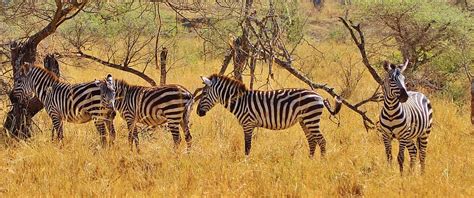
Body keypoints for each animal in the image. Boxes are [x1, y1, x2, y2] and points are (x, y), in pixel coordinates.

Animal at [196, 74, 340, 158]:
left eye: (204, 94)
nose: (198, 113)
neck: (240, 101)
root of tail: (319, 96)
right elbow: (248, 146)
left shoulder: (248, 124)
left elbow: (247, 147)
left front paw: (246, 163)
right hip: (304, 120)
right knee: (312, 140)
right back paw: (310, 161)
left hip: (311, 118)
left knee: (321, 140)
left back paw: (322, 162)